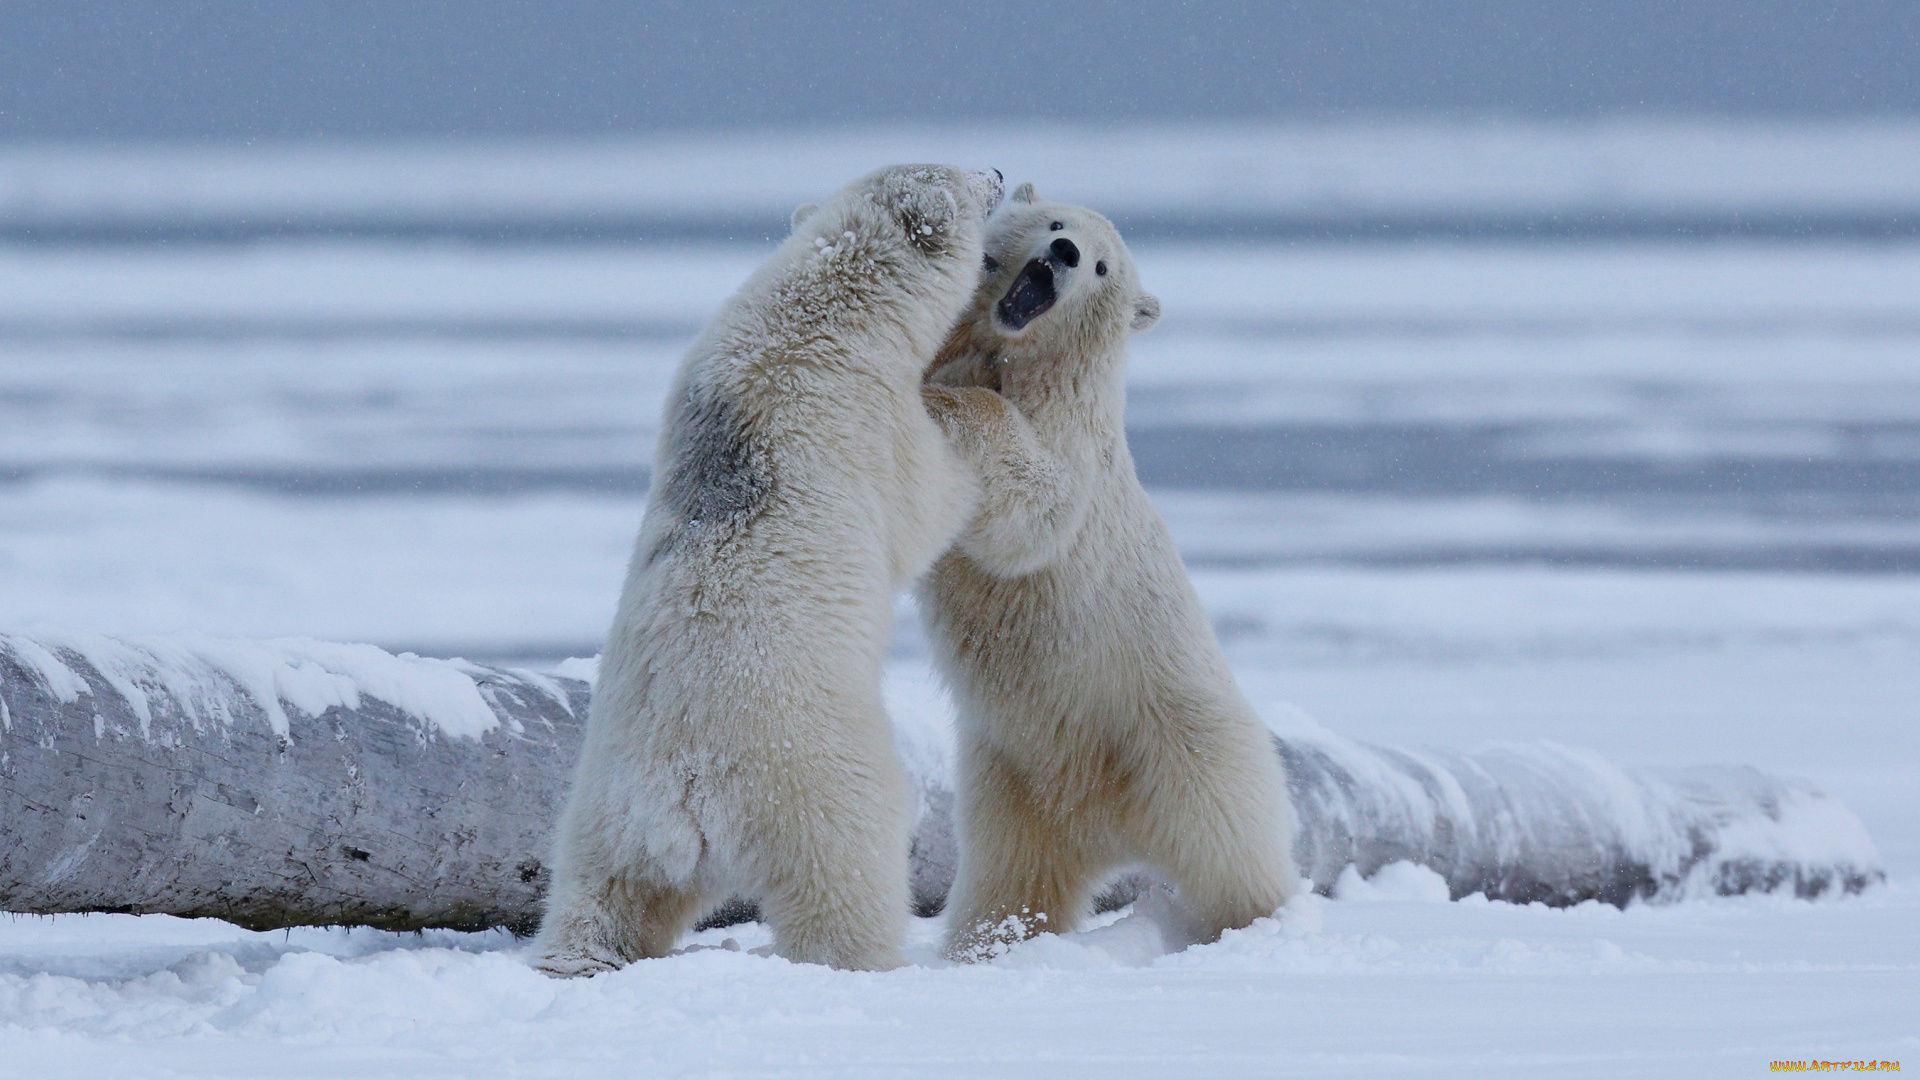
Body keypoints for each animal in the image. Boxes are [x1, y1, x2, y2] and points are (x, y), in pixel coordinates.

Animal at [529, 161, 1006, 976]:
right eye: (962, 176)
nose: (1000, 172)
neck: (819, 309)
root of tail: (684, 794)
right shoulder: (866, 417)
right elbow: (926, 501)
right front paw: (971, 419)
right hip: (814, 781)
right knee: (849, 877)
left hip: (603, 805)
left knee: (604, 895)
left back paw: (578, 956)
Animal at [917, 187, 1305, 957]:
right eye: (1056, 224)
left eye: (1102, 267)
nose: (1063, 255)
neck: (1017, 350)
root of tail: (1109, 823)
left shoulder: (1071, 441)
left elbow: (1035, 507)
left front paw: (948, 401)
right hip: (1013, 775)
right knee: (1012, 874)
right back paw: (983, 945)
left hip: (1181, 741)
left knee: (1233, 848)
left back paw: (1260, 925)